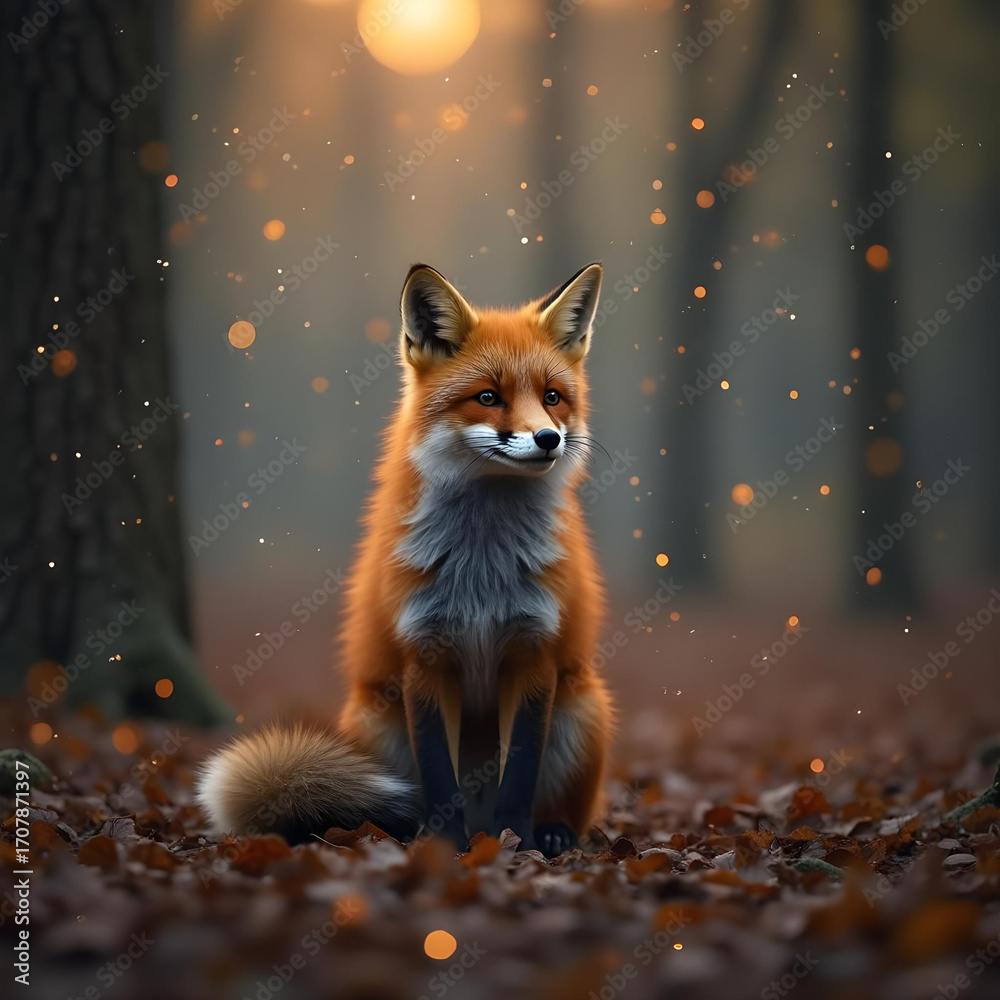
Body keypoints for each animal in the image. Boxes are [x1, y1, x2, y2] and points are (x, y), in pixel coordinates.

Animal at [196, 262, 614, 857]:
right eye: (488, 397)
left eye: (553, 396)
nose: (548, 438)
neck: (481, 568)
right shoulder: (425, 656)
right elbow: (439, 773)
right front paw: (447, 845)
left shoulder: (534, 655)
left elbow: (519, 775)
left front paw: (517, 843)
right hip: (376, 722)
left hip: (583, 707)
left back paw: (552, 833)